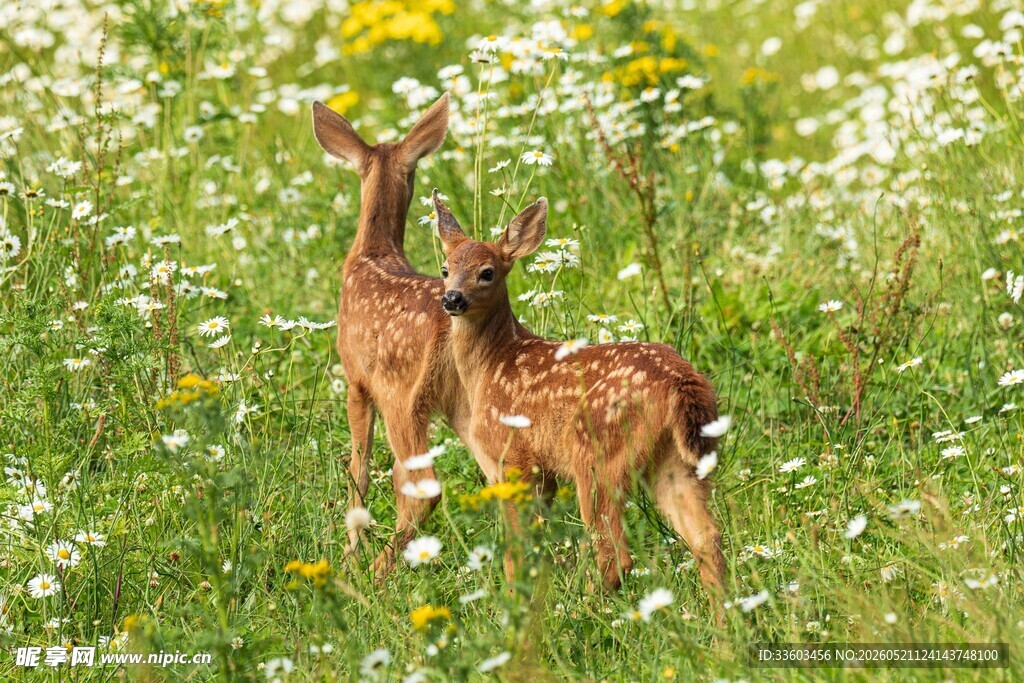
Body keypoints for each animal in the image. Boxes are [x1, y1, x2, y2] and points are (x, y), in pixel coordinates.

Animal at [311, 94, 471, 580]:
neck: (373, 252)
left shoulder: (356, 380)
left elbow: (359, 469)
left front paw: (350, 553)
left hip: (402, 396)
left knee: (424, 486)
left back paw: (376, 572)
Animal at [431, 190, 726, 607]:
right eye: (444, 268)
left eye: (487, 272)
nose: (452, 298)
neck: (492, 365)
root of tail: (681, 381)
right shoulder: (544, 474)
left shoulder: (513, 460)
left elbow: (517, 549)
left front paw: (516, 602)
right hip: (676, 460)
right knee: (705, 537)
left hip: (596, 454)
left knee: (615, 552)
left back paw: (585, 608)